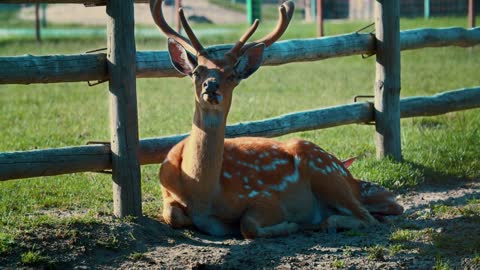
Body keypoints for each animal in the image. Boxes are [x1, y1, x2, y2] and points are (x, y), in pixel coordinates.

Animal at [151, 0, 404, 238]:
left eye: (232, 75)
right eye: (197, 72)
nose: (211, 86)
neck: (202, 193)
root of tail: (349, 176)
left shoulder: (267, 198)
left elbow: (248, 225)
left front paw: (290, 225)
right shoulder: (167, 190)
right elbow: (172, 214)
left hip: (324, 170)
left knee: (368, 217)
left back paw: (318, 223)